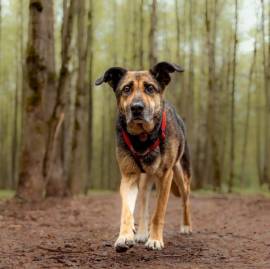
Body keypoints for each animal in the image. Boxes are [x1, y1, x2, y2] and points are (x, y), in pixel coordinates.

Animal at [95, 61, 192, 251]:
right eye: (126, 89)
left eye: (150, 88)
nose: (137, 107)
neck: (142, 138)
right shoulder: (129, 175)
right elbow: (127, 210)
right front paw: (125, 236)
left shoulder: (166, 176)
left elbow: (158, 213)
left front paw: (155, 239)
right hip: (145, 180)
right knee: (143, 203)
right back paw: (140, 233)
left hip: (180, 175)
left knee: (186, 198)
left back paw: (186, 226)